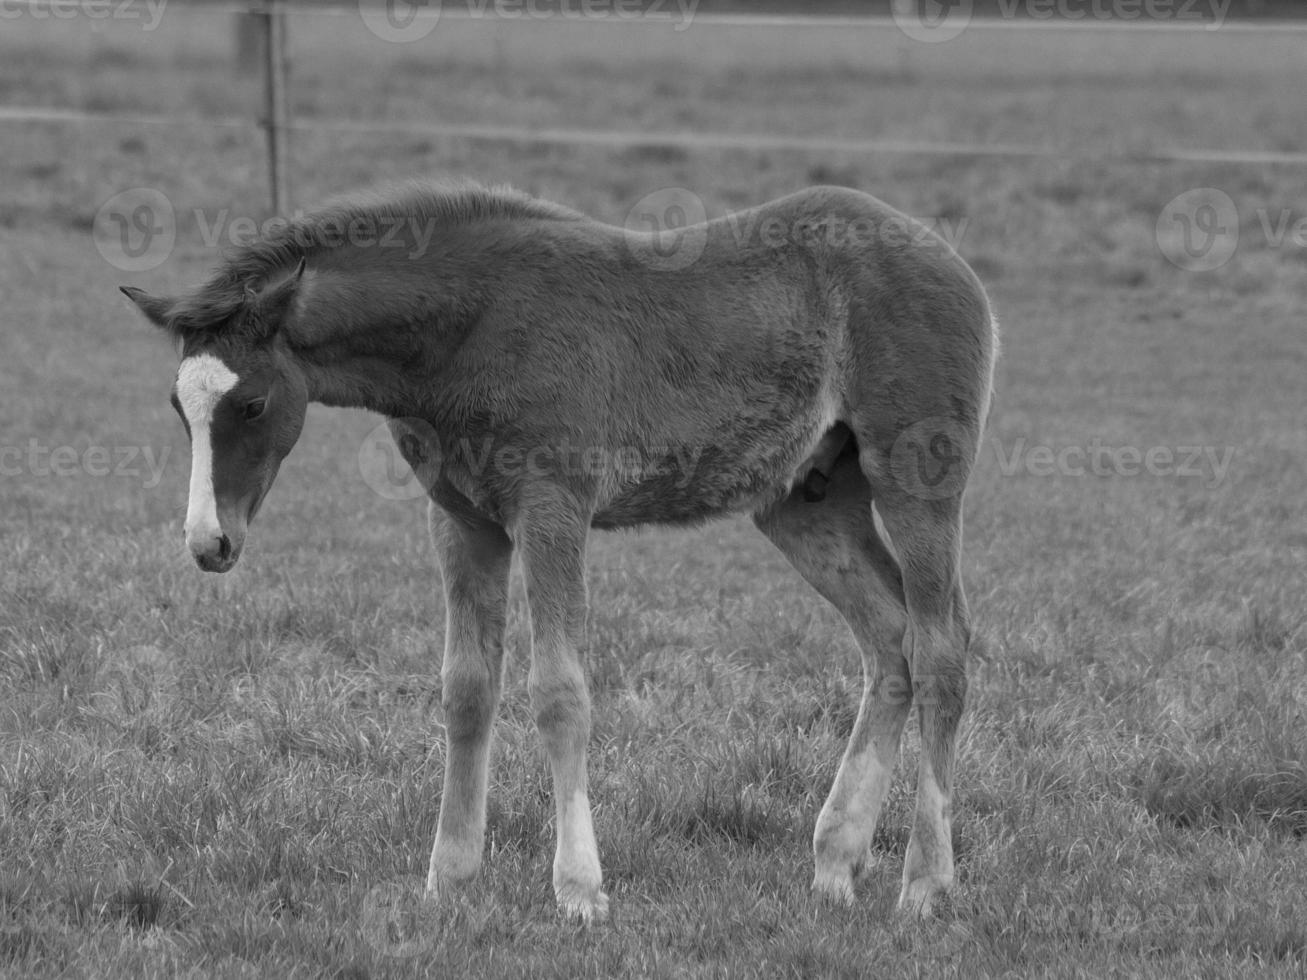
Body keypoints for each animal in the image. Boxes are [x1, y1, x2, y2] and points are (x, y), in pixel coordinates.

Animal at [124, 180, 998, 925]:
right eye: (176, 405)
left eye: (251, 403)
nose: (209, 542)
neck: (468, 327)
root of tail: (950, 259)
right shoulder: (462, 520)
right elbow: (467, 689)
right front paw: (449, 877)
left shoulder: (553, 508)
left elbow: (558, 694)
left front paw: (579, 890)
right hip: (806, 501)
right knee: (889, 643)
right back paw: (834, 863)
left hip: (915, 478)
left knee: (941, 650)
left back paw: (925, 884)